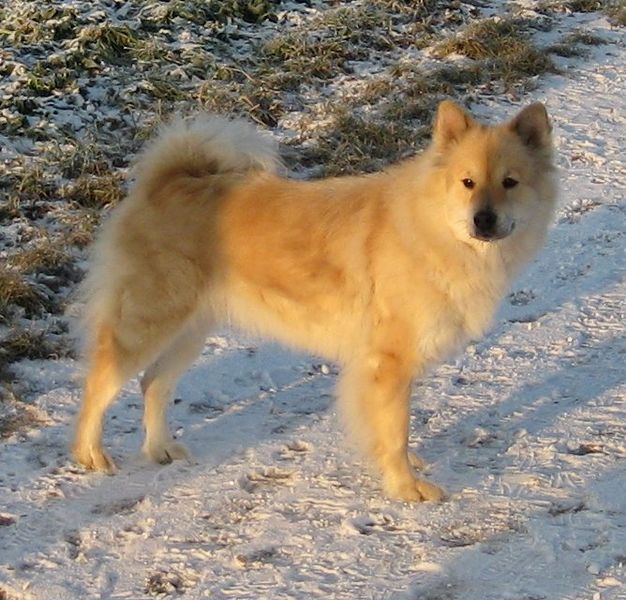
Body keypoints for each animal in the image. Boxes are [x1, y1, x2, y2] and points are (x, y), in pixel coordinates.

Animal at [73, 102, 556, 502]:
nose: (483, 219)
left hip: (191, 329)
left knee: (153, 384)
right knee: (100, 383)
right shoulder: (389, 363)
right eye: (467, 182)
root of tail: (168, 180)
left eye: (510, 183)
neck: (429, 229)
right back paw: (90, 454)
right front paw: (405, 486)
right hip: (149, 322)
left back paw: (160, 448)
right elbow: (395, 431)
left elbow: (387, 428)